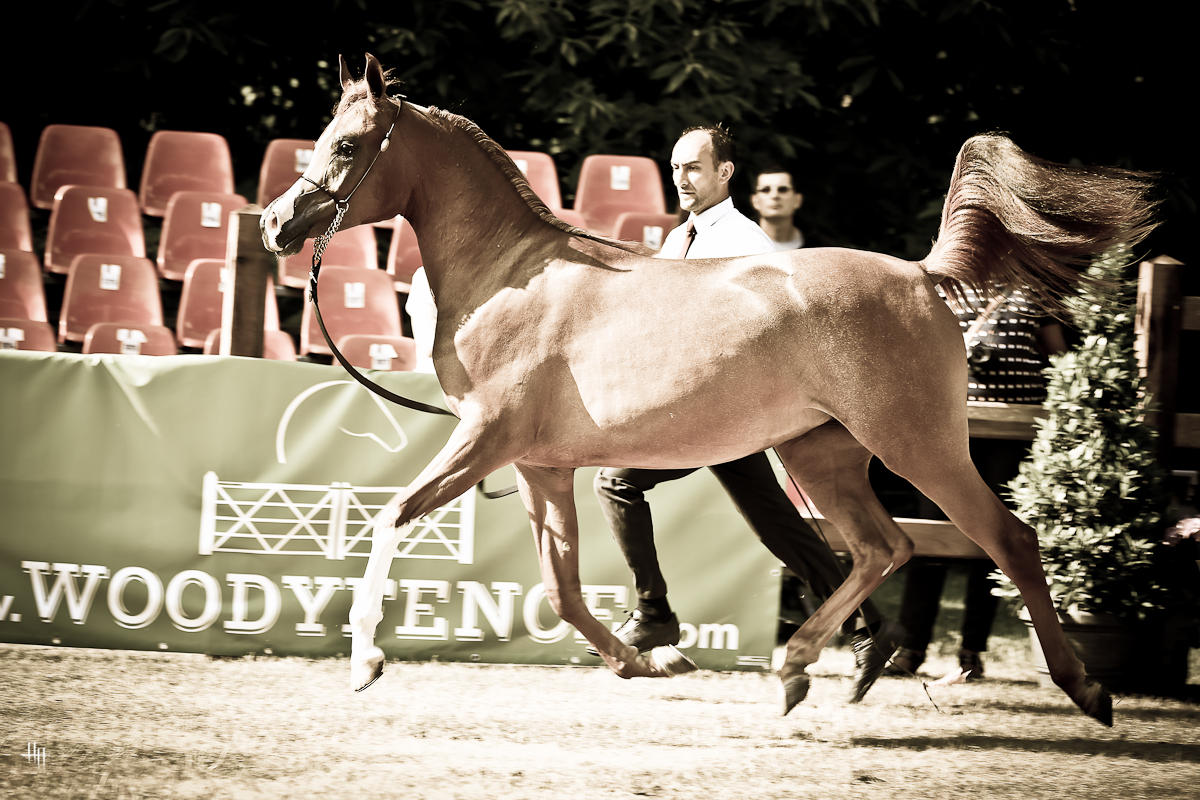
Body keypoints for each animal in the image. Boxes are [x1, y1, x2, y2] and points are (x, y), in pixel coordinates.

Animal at [261, 54, 1158, 727]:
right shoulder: (540, 464)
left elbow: (390, 518)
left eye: (348, 145)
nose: (274, 224)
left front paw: (367, 660)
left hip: (920, 445)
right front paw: (643, 659)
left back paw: (1087, 689)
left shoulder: (484, 438)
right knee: (884, 548)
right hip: (822, 454)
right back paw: (804, 667)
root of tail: (920, 275)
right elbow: (563, 588)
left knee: (1007, 541)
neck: (513, 277)